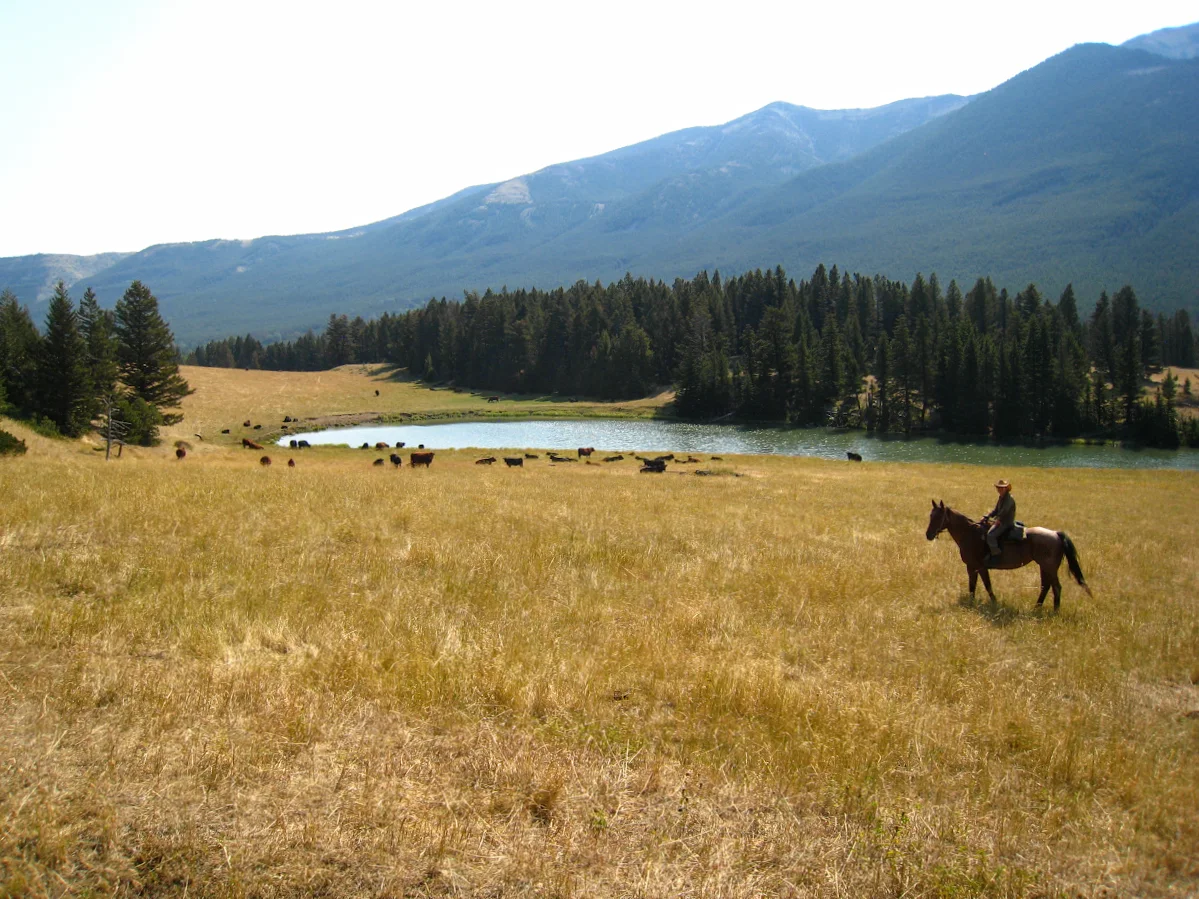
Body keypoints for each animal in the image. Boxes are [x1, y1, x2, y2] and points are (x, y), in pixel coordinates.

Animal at [925, 501, 1088, 613]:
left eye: (938, 516)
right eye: (931, 515)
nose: (928, 535)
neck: (970, 534)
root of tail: (1056, 534)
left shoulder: (977, 567)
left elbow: (983, 585)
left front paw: (989, 603)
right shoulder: (975, 568)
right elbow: (978, 586)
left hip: (1049, 568)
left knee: (1056, 587)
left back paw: (1054, 611)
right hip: (1044, 567)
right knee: (1046, 586)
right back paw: (1037, 608)